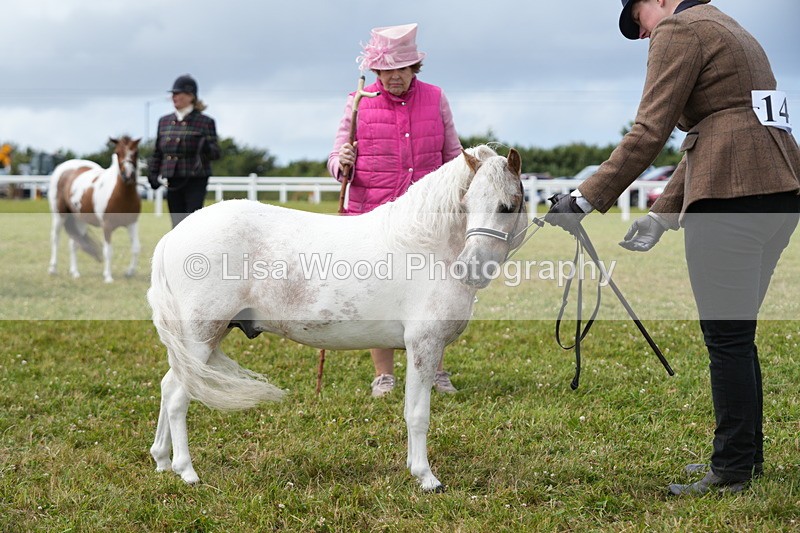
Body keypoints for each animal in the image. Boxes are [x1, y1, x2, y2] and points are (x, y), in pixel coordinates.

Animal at [48, 136, 142, 283]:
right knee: (55, 238)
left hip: (79, 220)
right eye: (117, 153)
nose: (128, 175)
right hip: (59, 216)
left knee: (75, 243)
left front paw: (130, 272)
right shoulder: (107, 226)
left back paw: (75, 272)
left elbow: (136, 248)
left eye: (136, 152)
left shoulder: (132, 224)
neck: (120, 194)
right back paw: (53, 269)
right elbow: (108, 251)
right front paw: (108, 277)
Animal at [147, 145, 527, 491]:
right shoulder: (423, 345)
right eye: (467, 203)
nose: (470, 267)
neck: (426, 247)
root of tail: (171, 237)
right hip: (201, 337)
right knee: (179, 396)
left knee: (167, 387)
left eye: (506, 206)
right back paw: (186, 471)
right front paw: (426, 478)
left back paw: (162, 461)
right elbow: (418, 414)